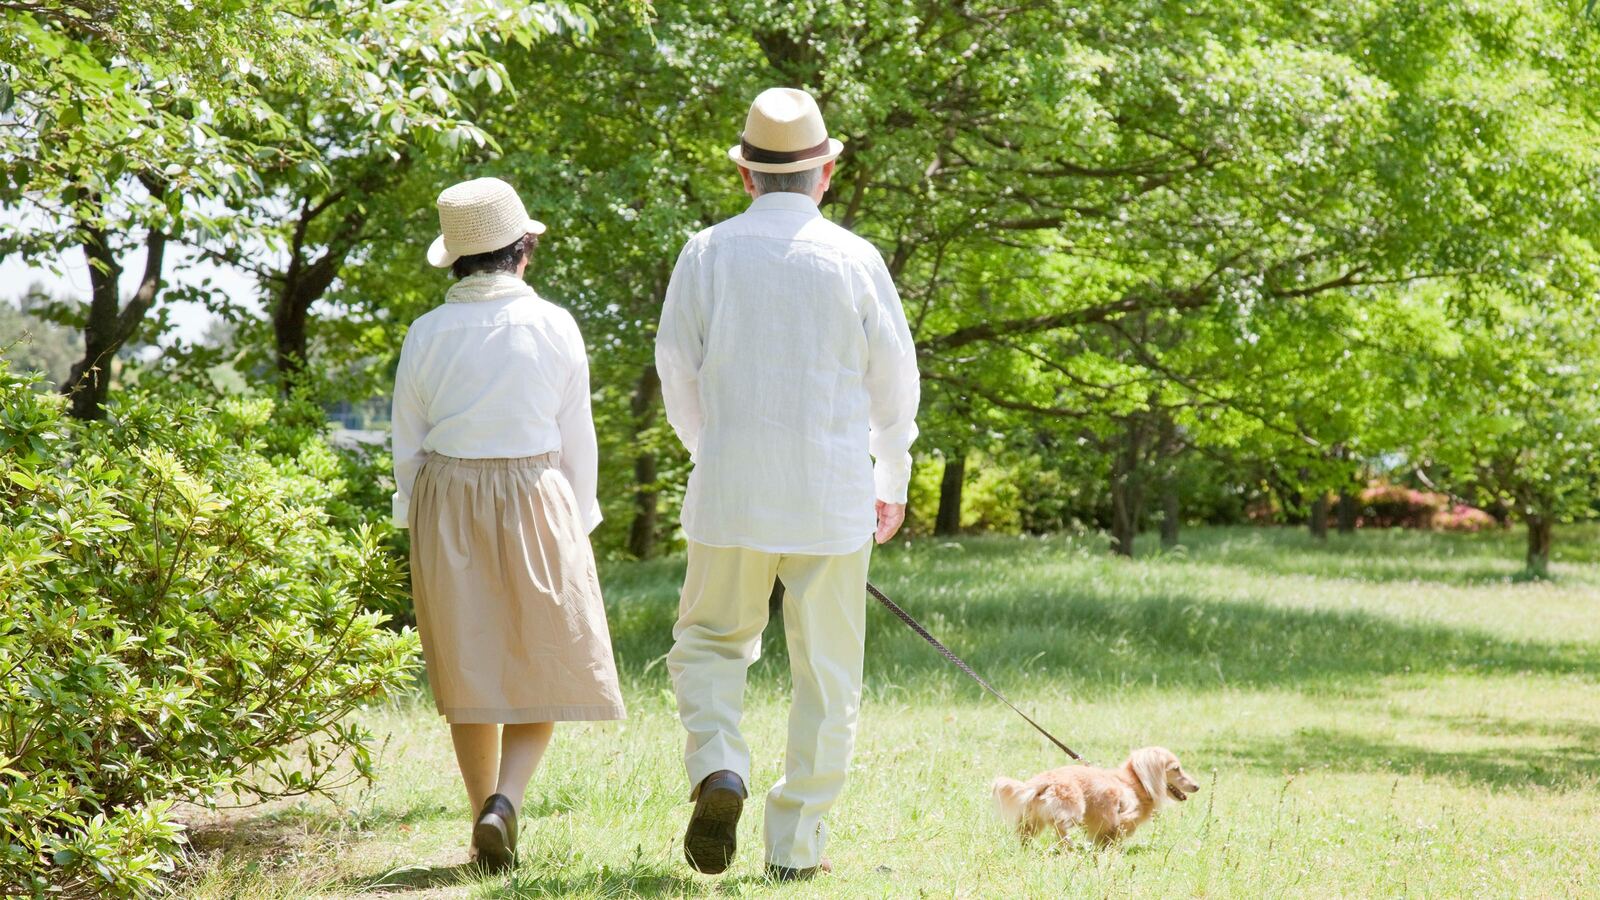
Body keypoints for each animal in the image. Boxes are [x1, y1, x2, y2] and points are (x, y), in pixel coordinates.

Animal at [985, 739, 1203, 845]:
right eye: (1176, 769)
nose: (1197, 786)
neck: (1135, 784)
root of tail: (1042, 781)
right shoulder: (1119, 819)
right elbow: (1114, 836)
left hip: (1033, 819)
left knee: (1026, 835)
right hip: (1073, 809)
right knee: (1060, 826)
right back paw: (1069, 846)